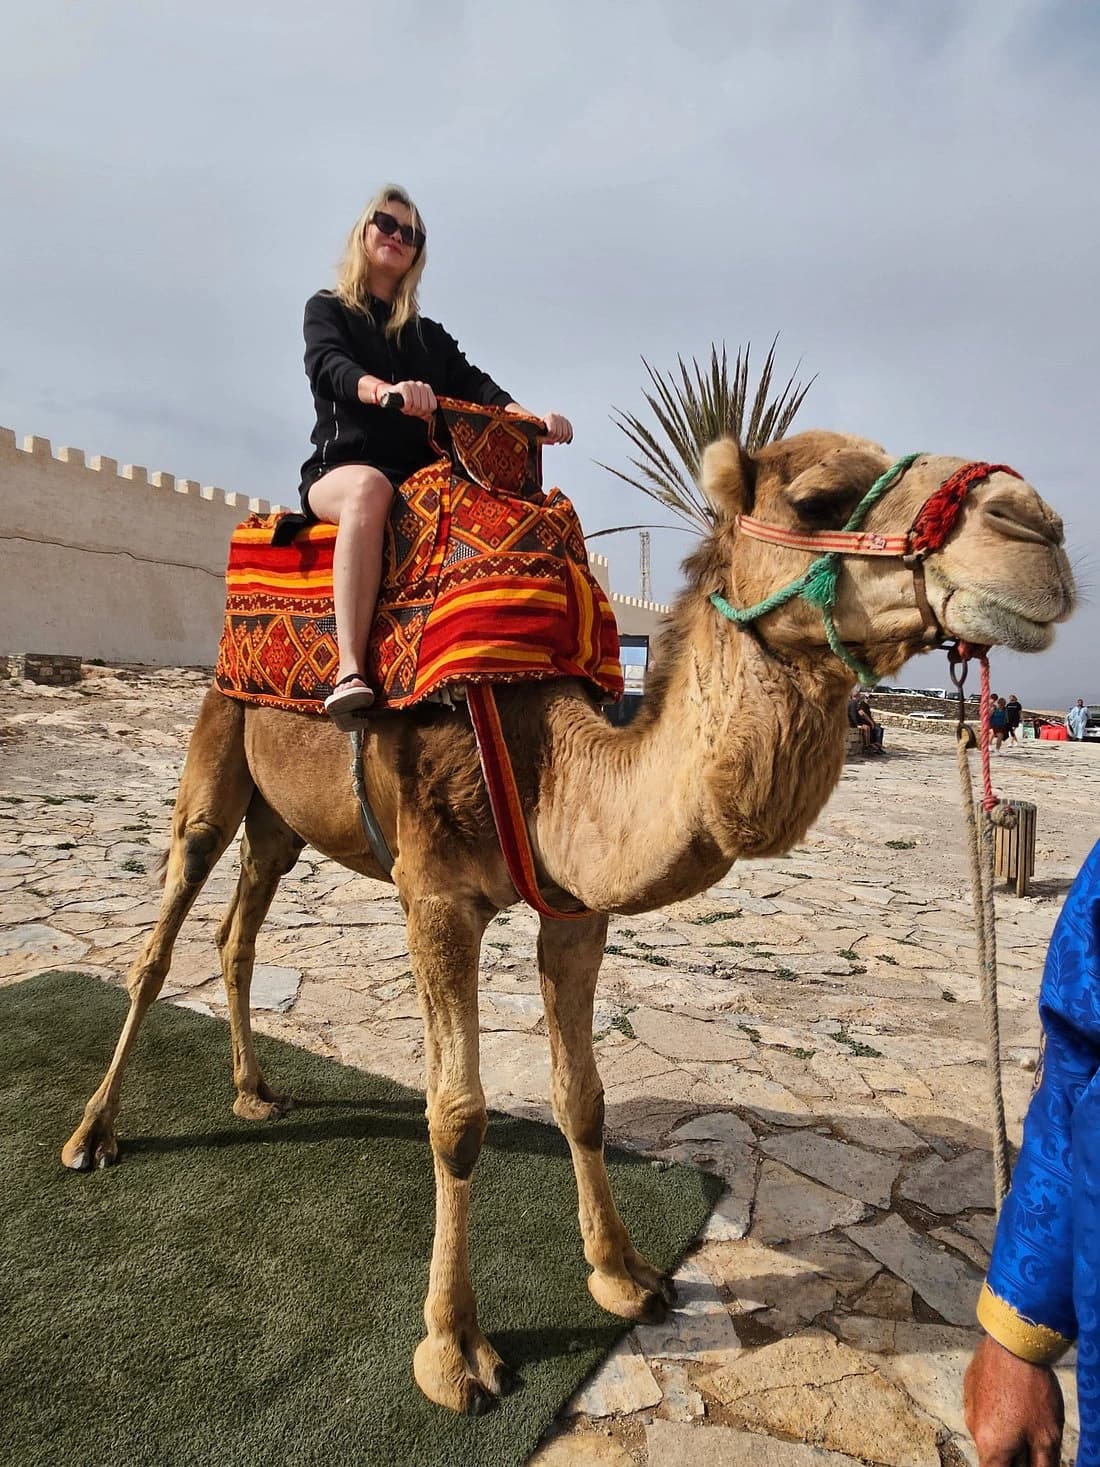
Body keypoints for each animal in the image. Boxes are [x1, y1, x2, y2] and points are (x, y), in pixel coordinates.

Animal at [61, 429, 1074, 1414]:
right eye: (820, 499)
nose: (1038, 528)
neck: (545, 753)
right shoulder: (434, 895)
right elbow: (457, 1116)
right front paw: (456, 1352)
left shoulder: (577, 910)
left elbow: (582, 1095)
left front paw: (625, 1274)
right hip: (215, 751)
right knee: (161, 942)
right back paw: (93, 1134)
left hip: (283, 821)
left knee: (238, 932)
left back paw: (254, 1089)